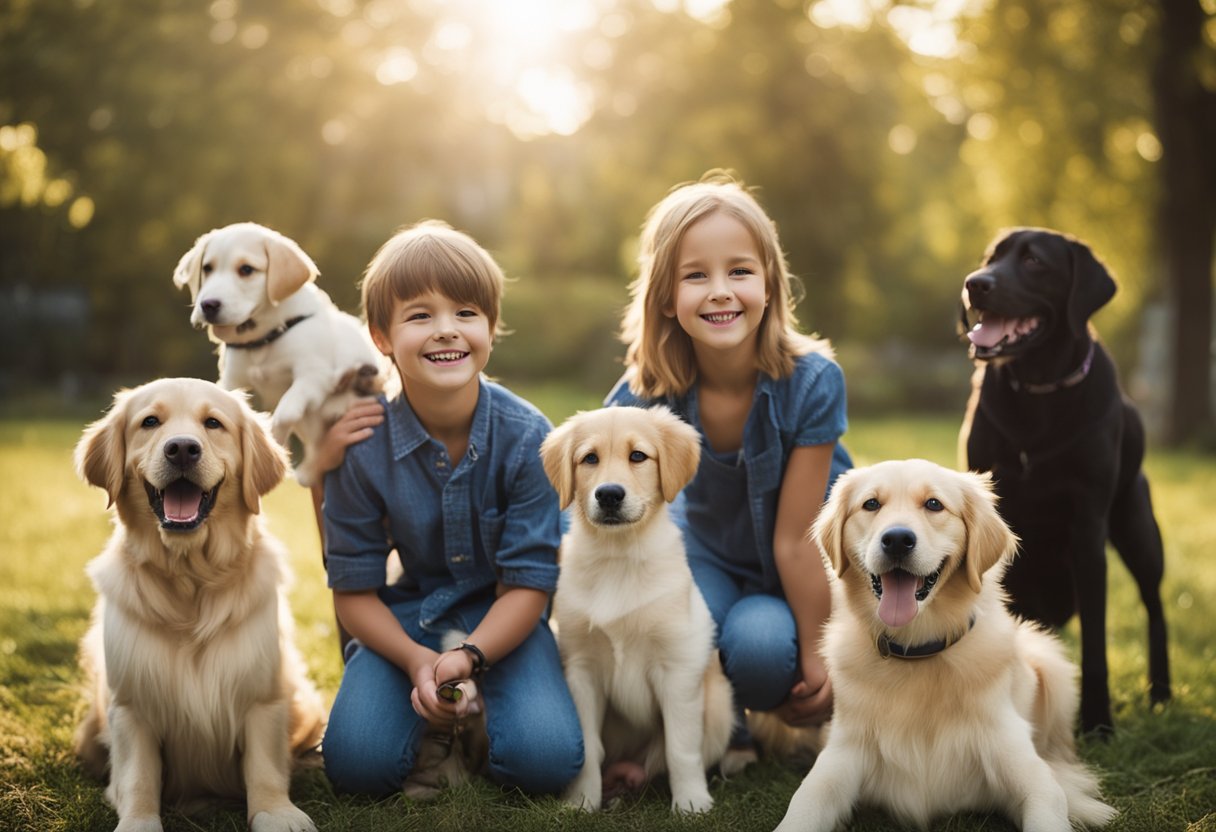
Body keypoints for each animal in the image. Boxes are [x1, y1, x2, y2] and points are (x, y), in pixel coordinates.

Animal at [74, 379, 325, 832]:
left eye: (213, 423)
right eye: (149, 422)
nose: (182, 449)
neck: (191, 579)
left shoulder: (263, 696)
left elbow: (264, 764)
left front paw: (277, 812)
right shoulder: (132, 706)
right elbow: (137, 776)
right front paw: (138, 821)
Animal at [171, 221, 384, 486]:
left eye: (247, 270)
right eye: (207, 268)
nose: (208, 305)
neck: (264, 339)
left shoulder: (314, 376)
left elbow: (285, 413)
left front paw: (274, 440)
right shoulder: (232, 379)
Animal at [542, 408, 729, 812]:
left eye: (638, 456)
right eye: (590, 458)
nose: (609, 494)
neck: (619, 555)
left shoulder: (677, 668)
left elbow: (680, 748)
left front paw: (691, 803)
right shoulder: (582, 669)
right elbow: (589, 748)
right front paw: (581, 801)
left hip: (720, 704)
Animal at [773, 462, 1113, 832]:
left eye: (934, 504)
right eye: (871, 504)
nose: (897, 540)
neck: (917, 651)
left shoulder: (1020, 763)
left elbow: (1049, 801)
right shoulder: (843, 752)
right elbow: (804, 803)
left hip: (1050, 663)